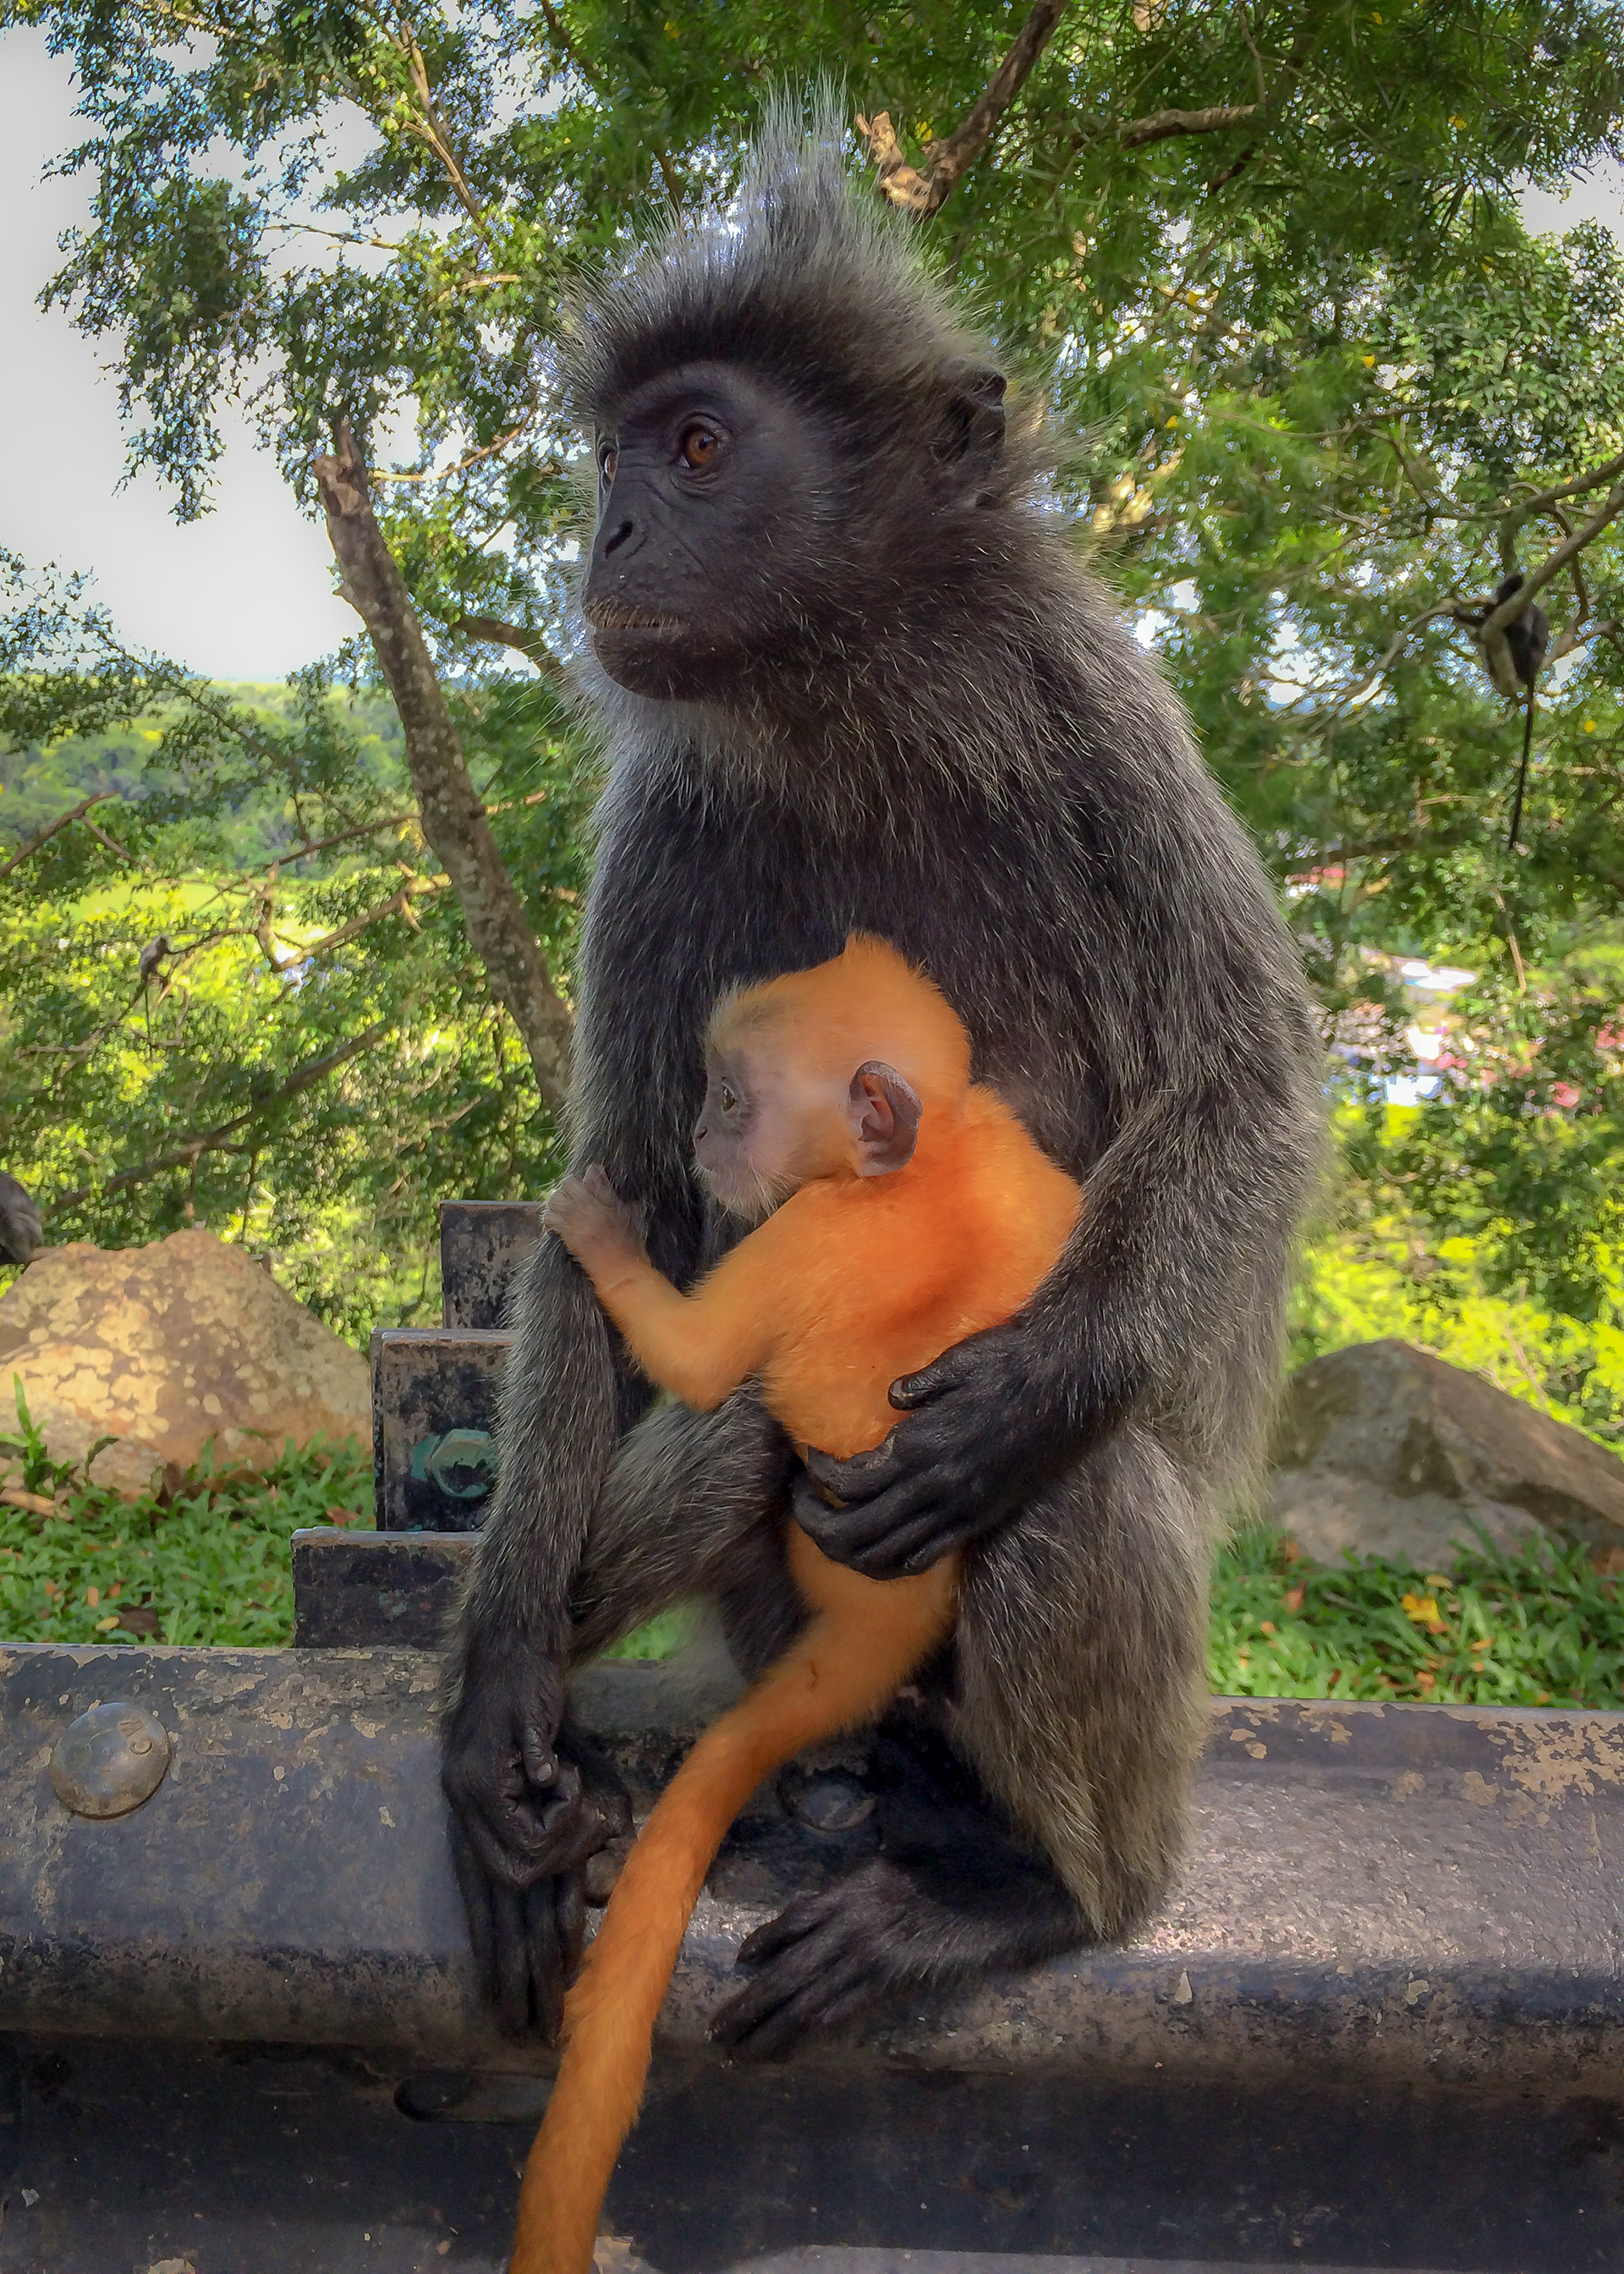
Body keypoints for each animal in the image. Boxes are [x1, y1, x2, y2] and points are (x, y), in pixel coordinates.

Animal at [441, 99, 1324, 2062]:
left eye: (696, 447)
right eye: (615, 455)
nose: (611, 528)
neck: (848, 713)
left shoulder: (1092, 714)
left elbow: (1246, 1080)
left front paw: (1030, 1389)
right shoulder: (671, 822)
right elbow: (620, 1202)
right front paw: (497, 1690)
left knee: (1072, 1491)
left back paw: (1037, 1890)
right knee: (740, 1431)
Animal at [509, 936, 1083, 2274]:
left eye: (729, 1098)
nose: (697, 1135)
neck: (934, 1154)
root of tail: (886, 1624)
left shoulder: (810, 1233)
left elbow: (703, 1360)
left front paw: (600, 1229)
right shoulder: (1024, 1159)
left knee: (746, 1411)